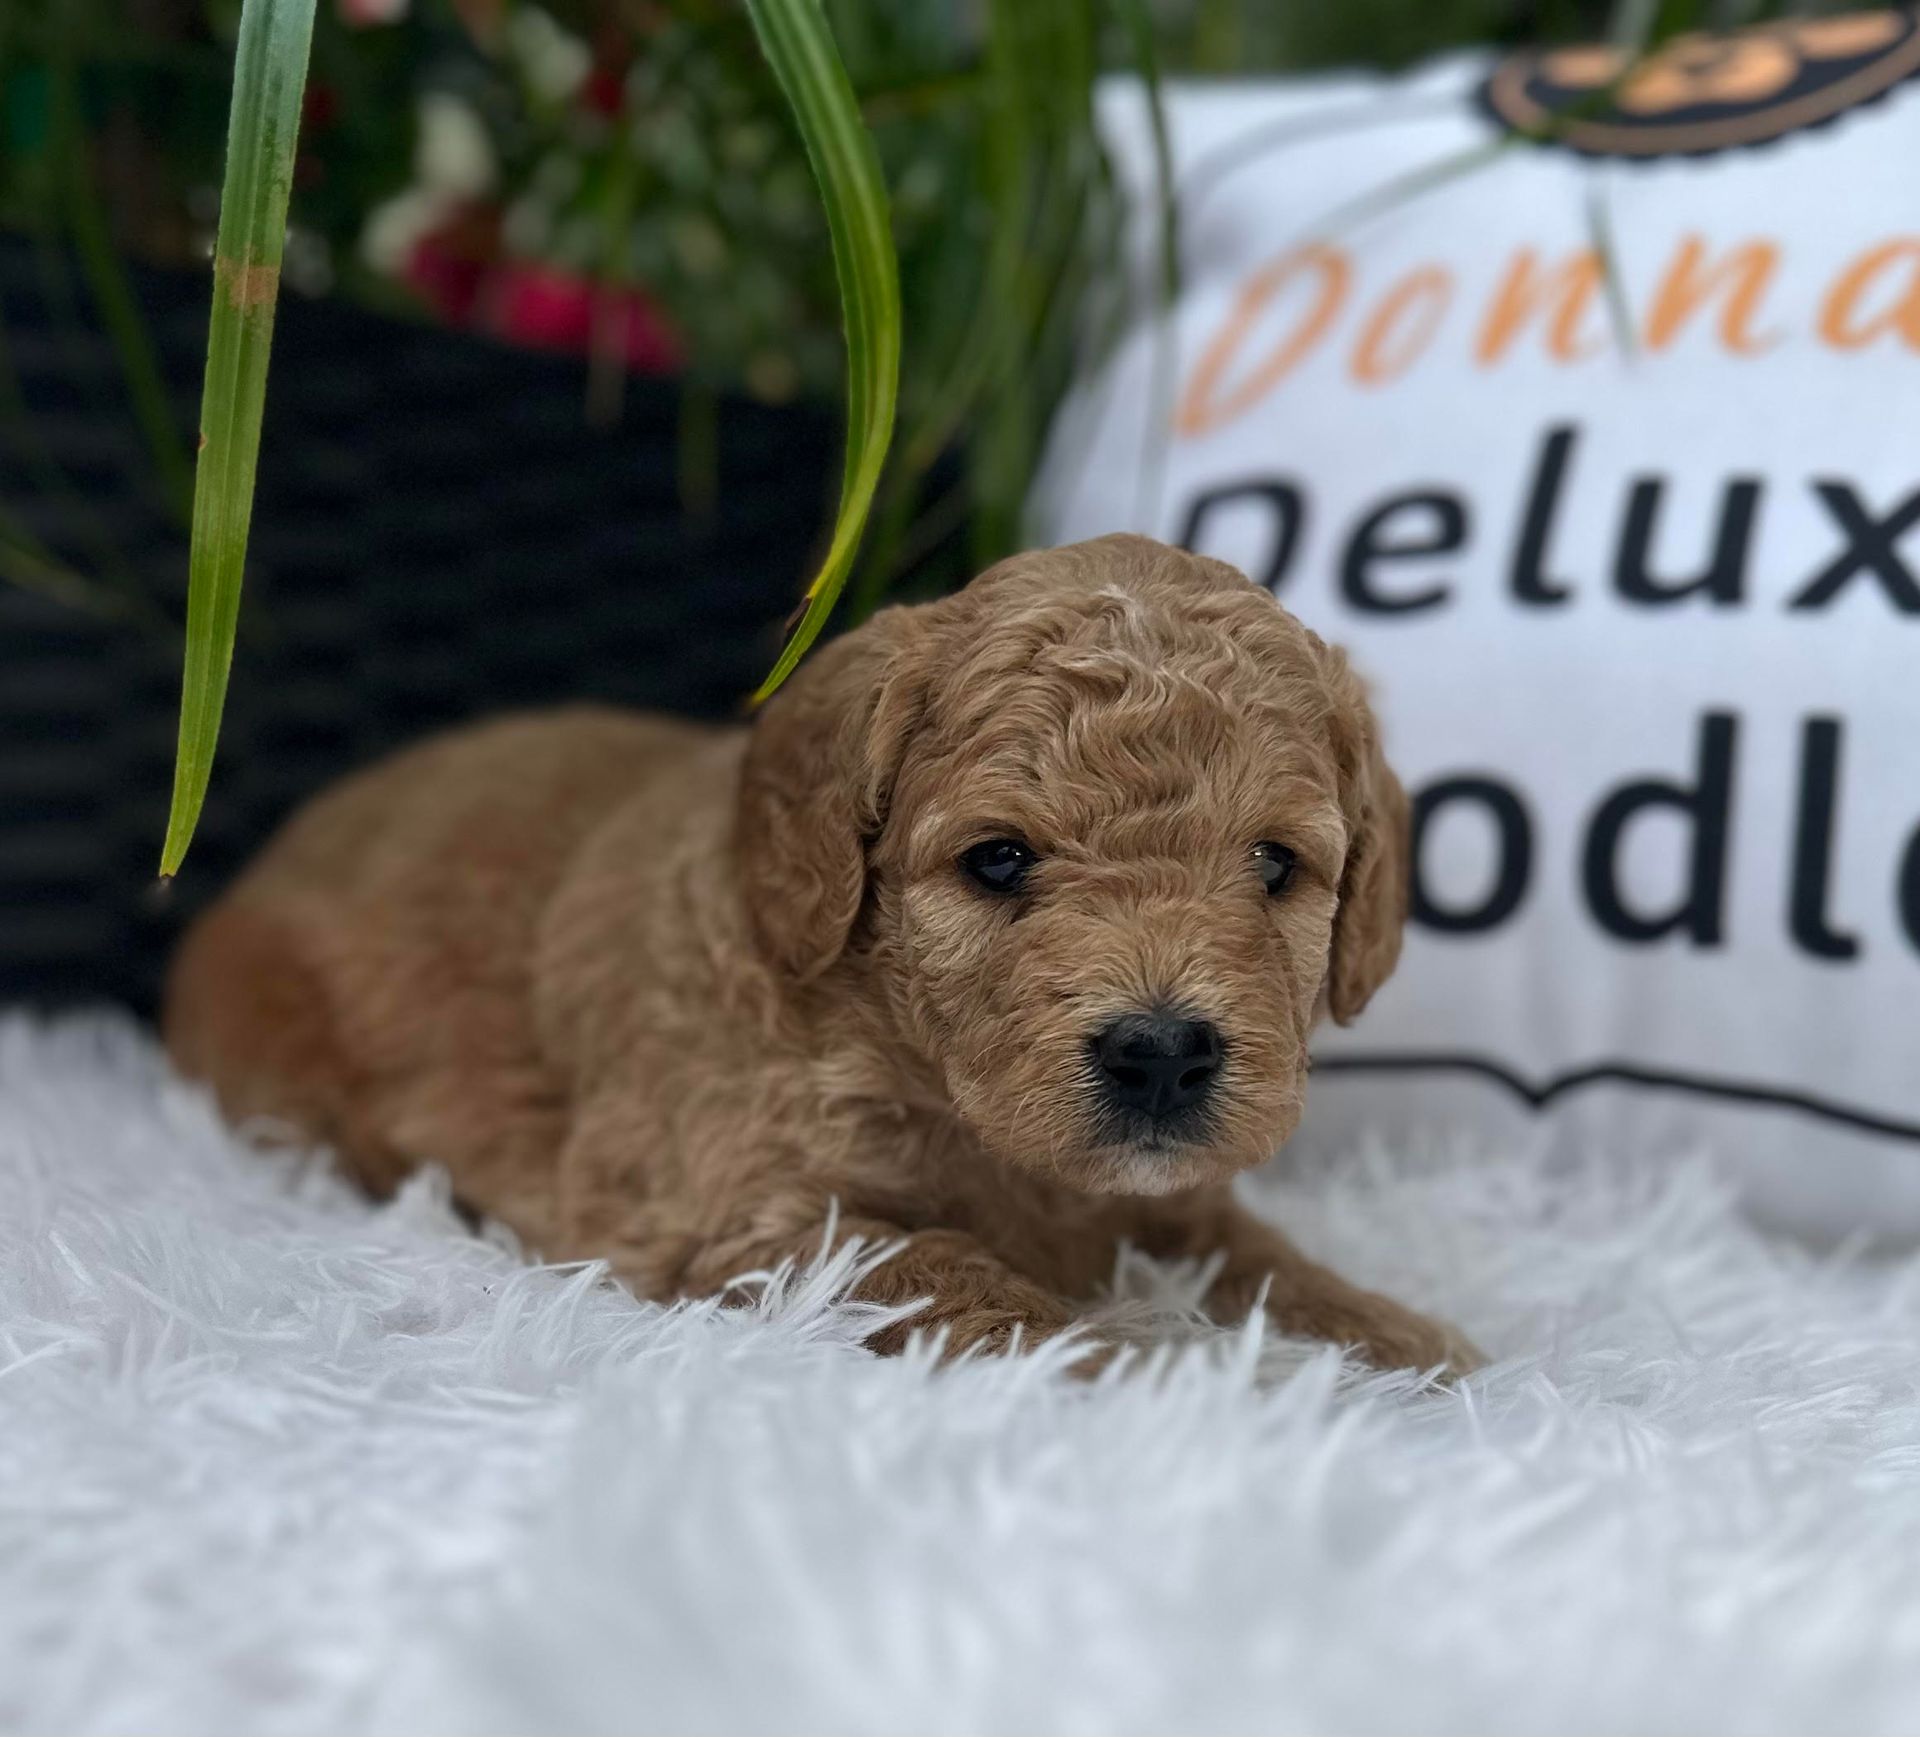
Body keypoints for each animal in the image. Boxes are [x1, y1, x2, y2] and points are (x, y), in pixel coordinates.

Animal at [168, 529, 1466, 1366]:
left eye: (1276, 867)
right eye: (999, 860)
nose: (1161, 1055)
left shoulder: (1164, 1196)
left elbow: (1257, 1255)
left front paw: (1396, 1340)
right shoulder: (739, 1204)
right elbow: (942, 1260)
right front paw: (1138, 1367)